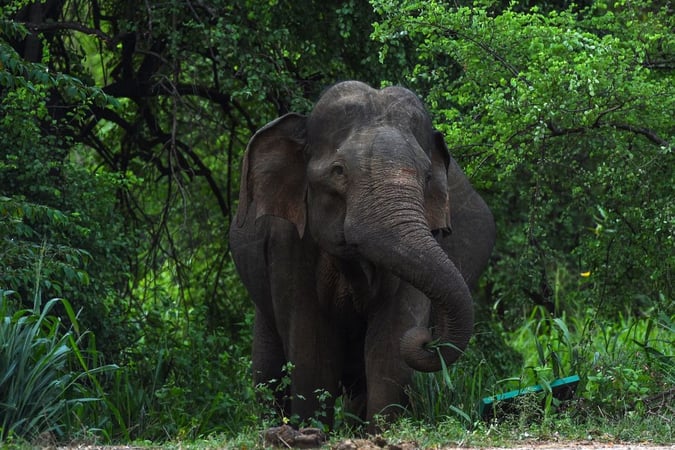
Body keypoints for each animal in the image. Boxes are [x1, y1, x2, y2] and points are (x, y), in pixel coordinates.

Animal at [229, 80, 495, 428]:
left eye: (427, 177)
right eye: (338, 171)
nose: (426, 338)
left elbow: (391, 340)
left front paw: (381, 429)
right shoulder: (287, 242)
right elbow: (311, 346)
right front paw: (310, 428)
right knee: (268, 371)